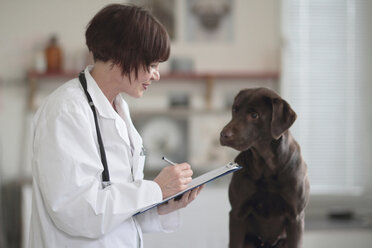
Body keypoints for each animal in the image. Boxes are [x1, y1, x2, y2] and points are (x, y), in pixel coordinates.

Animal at [219, 88, 310, 247]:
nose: (223, 134)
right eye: (235, 109)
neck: (266, 166)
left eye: (254, 115)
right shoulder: (237, 213)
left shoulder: (296, 217)